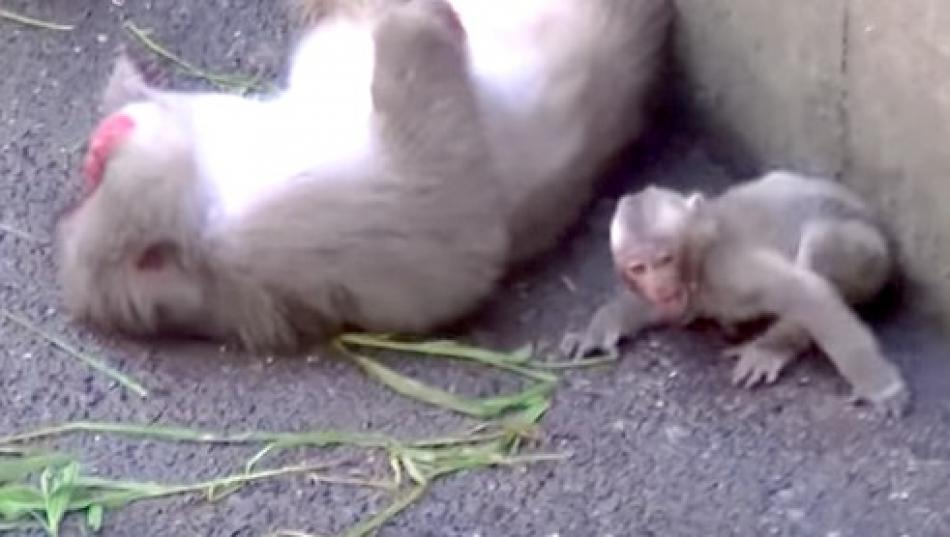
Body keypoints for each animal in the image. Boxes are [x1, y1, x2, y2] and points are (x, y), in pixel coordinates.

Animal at [562, 171, 910, 416]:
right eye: (639, 268)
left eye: (664, 260)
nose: (659, 283)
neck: (697, 261)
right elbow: (651, 306)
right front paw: (596, 330)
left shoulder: (725, 268)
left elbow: (805, 291)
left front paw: (882, 388)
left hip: (870, 254)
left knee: (820, 245)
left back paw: (774, 344)